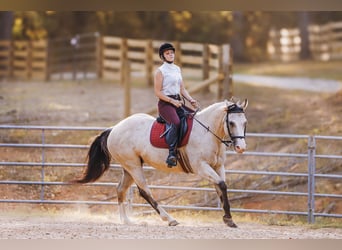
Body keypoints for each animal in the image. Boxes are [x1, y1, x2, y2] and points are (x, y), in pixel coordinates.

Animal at [71, 98, 248, 228]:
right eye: (231, 123)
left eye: (245, 122)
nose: (241, 148)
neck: (208, 133)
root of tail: (114, 129)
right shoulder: (201, 167)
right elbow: (222, 185)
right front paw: (228, 218)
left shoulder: (218, 167)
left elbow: (221, 187)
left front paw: (228, 218)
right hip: (134, 166)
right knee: (144, 191)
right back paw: (169, 219)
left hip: (129, 167)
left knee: (121, 189)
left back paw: (126, 221)